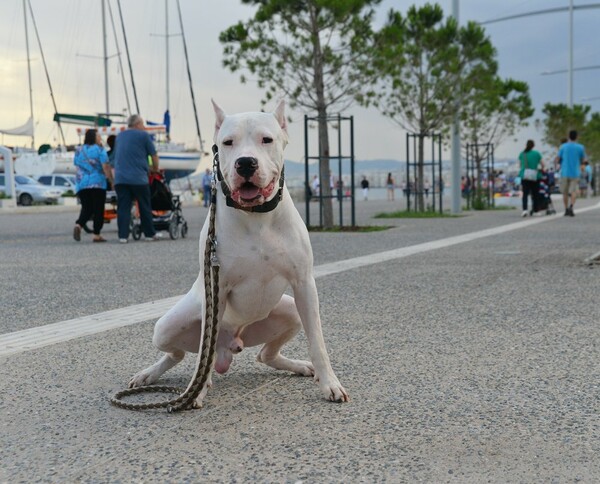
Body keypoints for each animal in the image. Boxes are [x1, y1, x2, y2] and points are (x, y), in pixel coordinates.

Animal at [129, 100, 350, 406]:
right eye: (227, 142)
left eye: (266, 139)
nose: (245, 162)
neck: (256, 216)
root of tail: (230, 343)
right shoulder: (218, 288)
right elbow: (203, 351)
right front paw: (197, 391)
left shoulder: (304, 285)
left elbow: (317, 341)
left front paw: (329, 382)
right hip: (165, 327)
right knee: (183, 353)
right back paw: (152, 375)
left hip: (291, 310)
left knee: (264, 354)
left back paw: (301, 367)